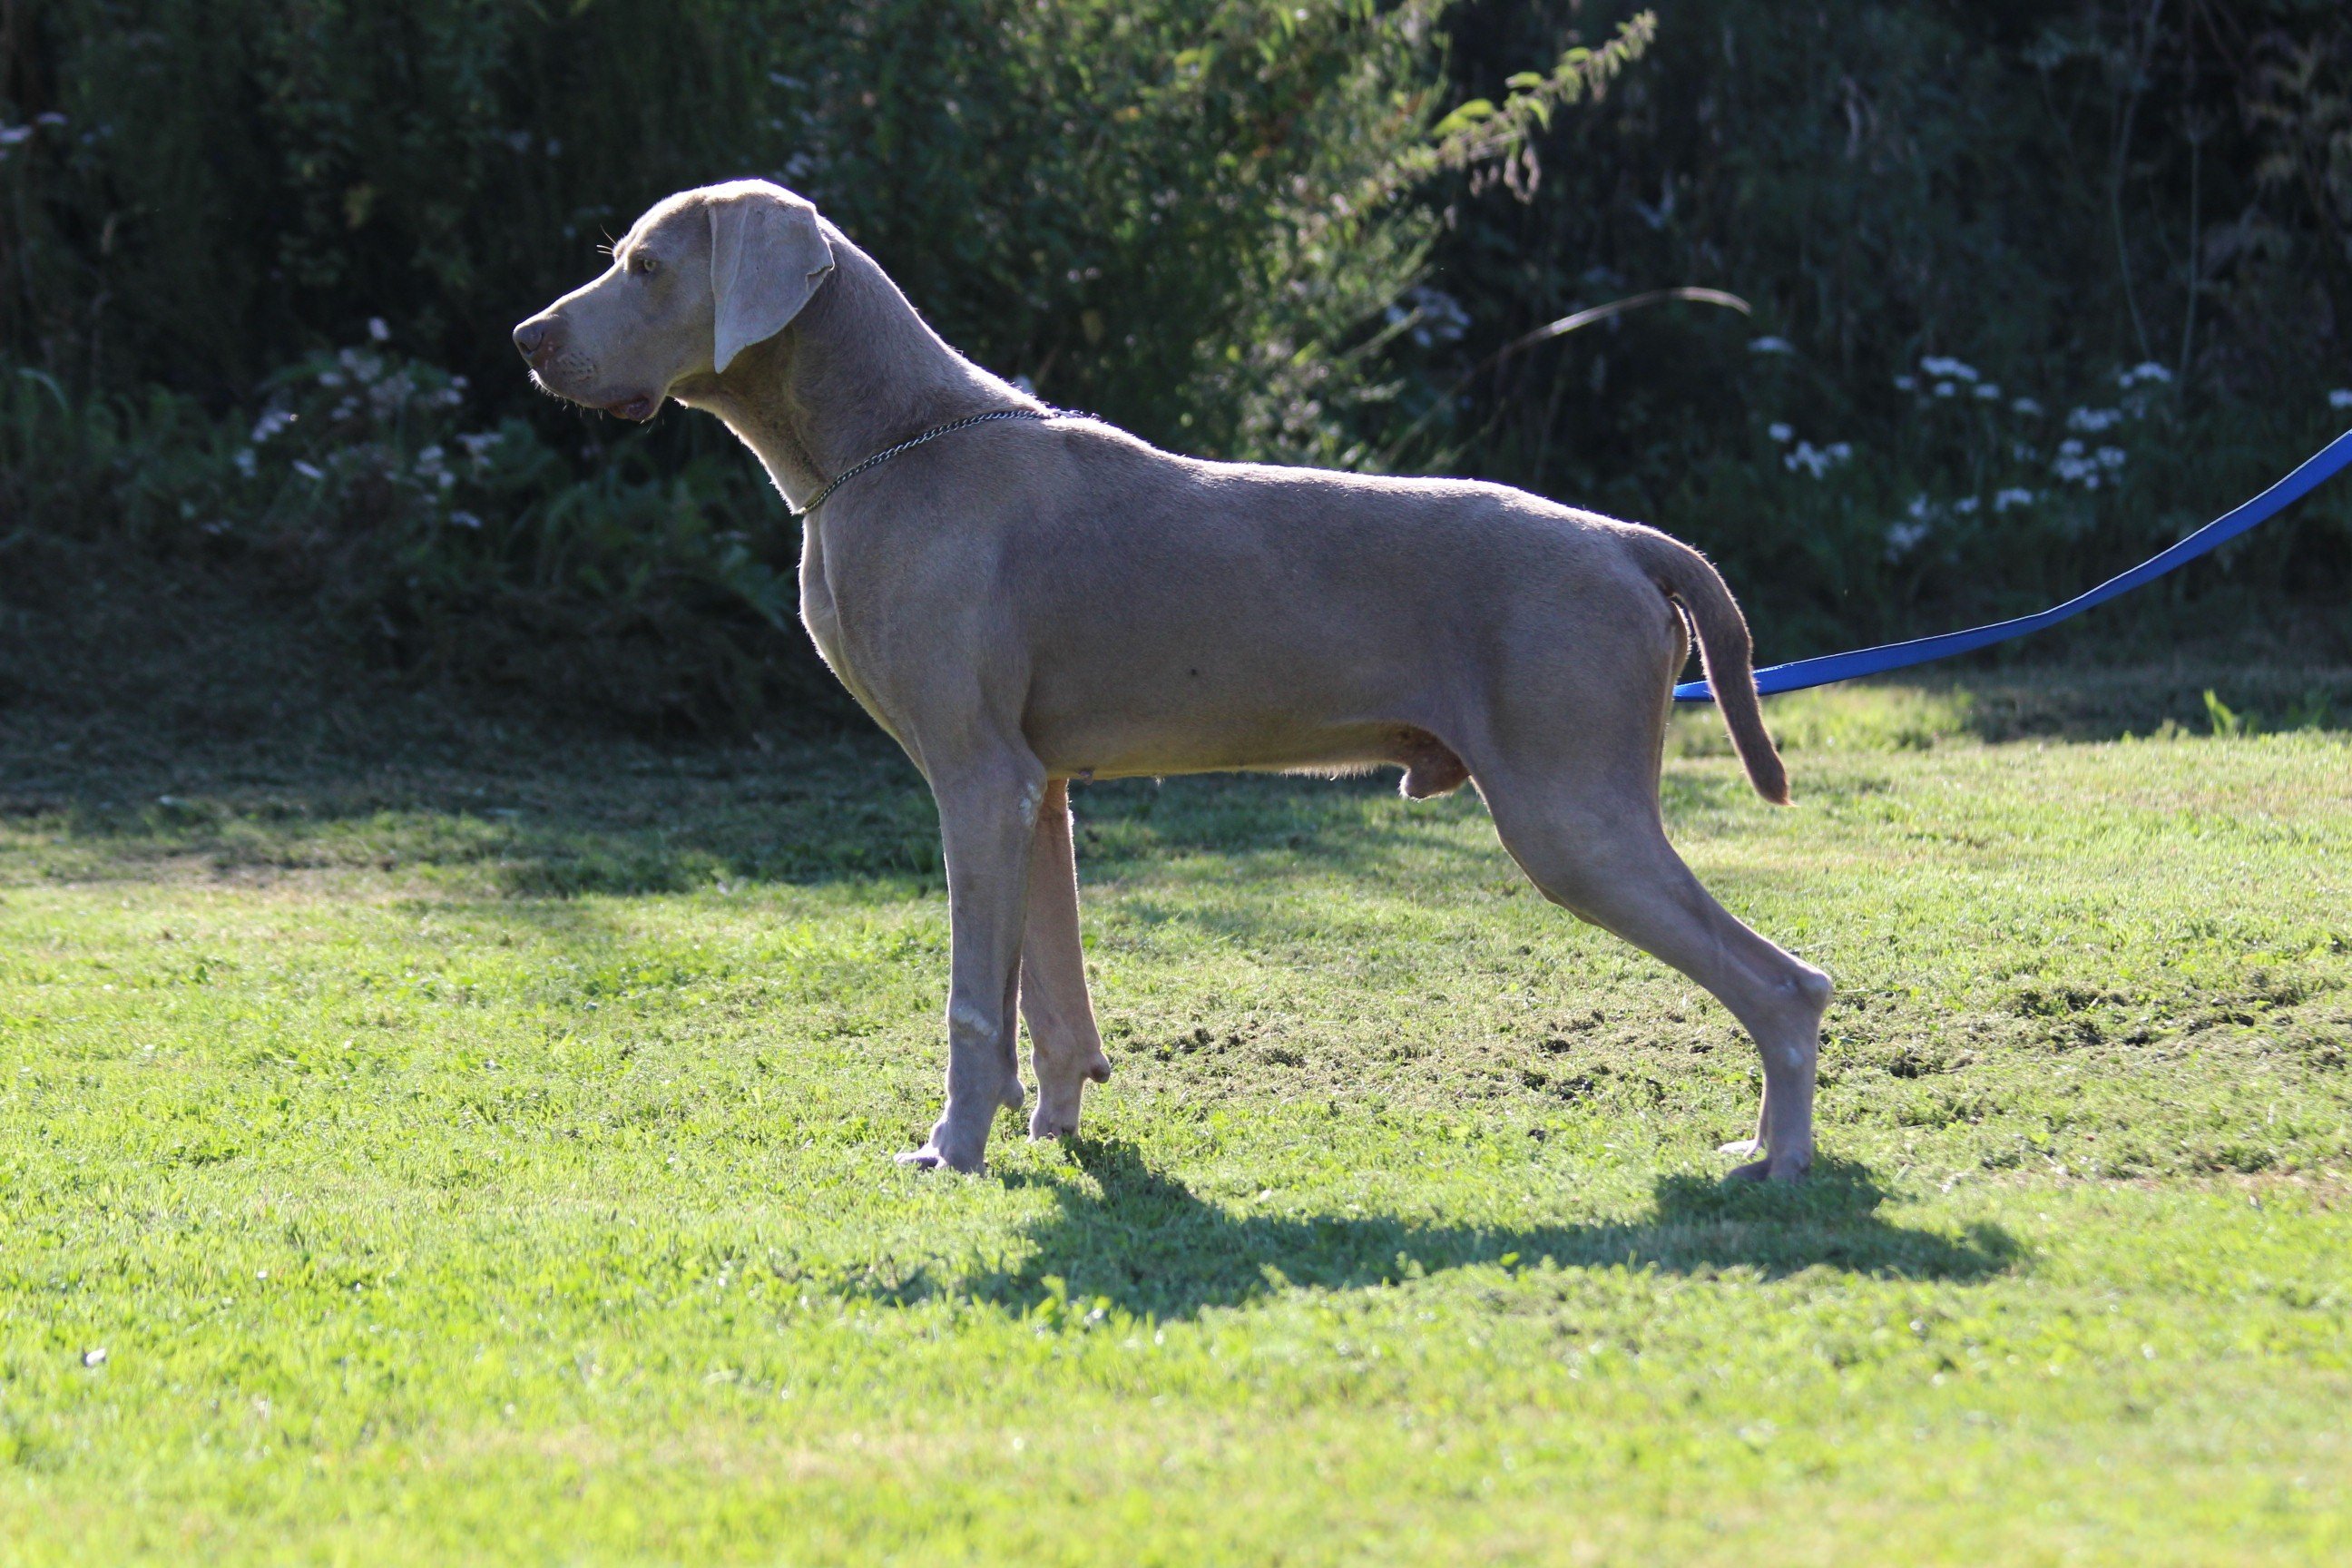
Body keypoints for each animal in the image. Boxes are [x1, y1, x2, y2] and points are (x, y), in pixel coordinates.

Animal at [519, 181, 1834, 1175]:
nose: (526, 340)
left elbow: (971, 1000)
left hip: (1572, 812)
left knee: (1787, 985)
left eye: (644, 265)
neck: (888, 444)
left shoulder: (975, 782)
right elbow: (1050, 997)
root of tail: (1624, 539)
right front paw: (1052, 1130)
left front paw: (953, 1148)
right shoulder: (1037, 790)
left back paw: (1776, 1160)